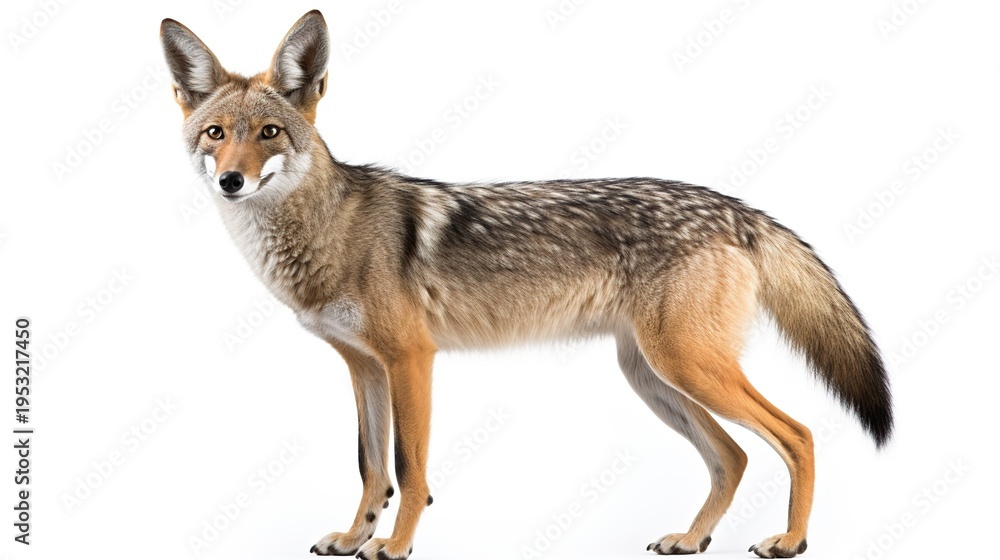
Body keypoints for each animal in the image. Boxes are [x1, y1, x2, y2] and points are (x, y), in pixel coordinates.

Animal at [161, 10, 892, 560]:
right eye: (216, 134)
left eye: (270, 133)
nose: (231, 181)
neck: (326, 232)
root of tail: (737, 207)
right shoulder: (363, 367)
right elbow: (372, 467)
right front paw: (353, 536)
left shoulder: (411, 360)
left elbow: (409, 468)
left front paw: (393, 547)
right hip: (654, 376)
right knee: (734, 456)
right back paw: (692, 539)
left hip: (685, 366)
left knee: (798, 434)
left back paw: (791, 541)